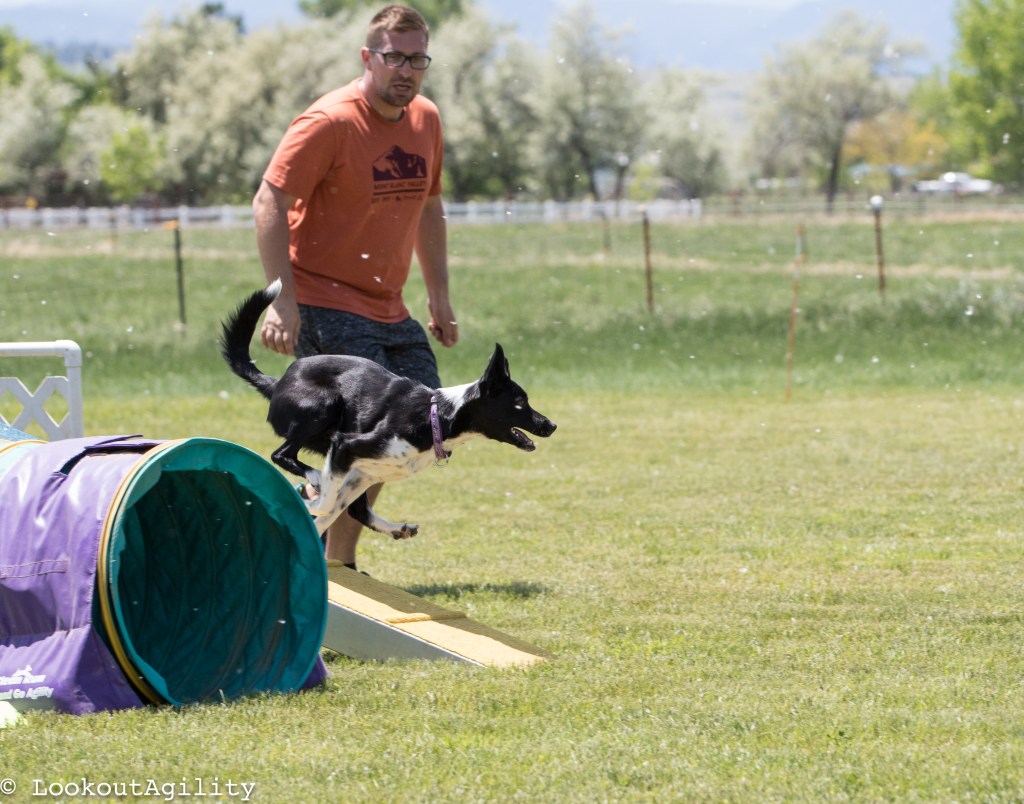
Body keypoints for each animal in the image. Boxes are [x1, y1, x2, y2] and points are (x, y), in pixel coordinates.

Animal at [220, 280, 556, 538]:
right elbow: (325, 504)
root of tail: (278, 382)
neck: (438, 417)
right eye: (519, 403)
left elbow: (335, 511)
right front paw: (306, 498)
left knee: (353, 509)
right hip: (324, 406)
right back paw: (313, 479)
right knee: (281, 455)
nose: (551, 425)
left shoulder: (360, 473)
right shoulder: (346, 446)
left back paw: (396, 528)